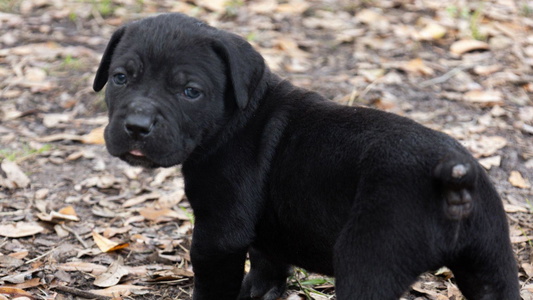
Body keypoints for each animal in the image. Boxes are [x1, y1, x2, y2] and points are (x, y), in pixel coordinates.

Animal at [93, 12, 516, 298]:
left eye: (190, 92)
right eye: (120, 78)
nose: (137, 126)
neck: (238, 116)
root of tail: (454, 178)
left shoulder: (219, 232)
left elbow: (215, 281)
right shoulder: (265, 231)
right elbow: (267, 262)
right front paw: (259, 291)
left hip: (369, 259)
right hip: (492, 262)